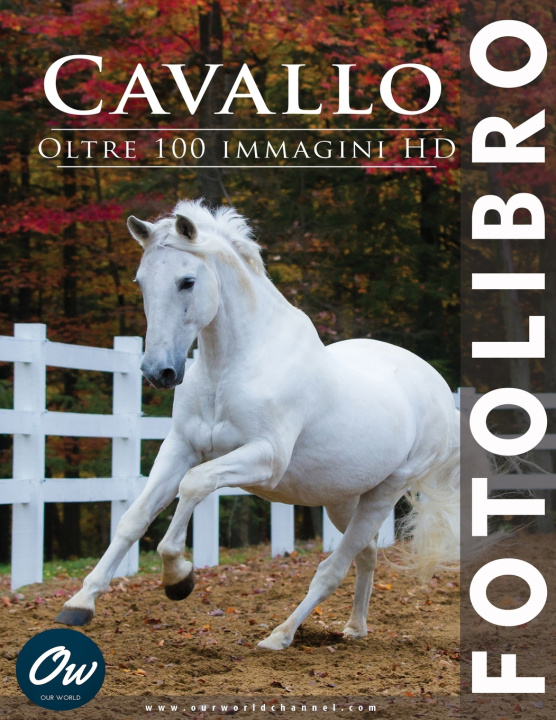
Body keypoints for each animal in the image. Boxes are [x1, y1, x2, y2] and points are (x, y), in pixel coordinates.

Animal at [55, 200, 460, 650]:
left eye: (187, 281)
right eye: (141, 282)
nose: (158, 372)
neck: (231, 367)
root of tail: (439, 389)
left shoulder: (265, 459)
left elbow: (193, 485)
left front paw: (178, 578)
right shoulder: (180, 447)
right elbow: (134, 518)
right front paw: (79, 603)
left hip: (384, 492)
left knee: (333, 568)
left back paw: (280, 636)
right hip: (343, 497)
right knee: (366, 554)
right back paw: (354, 628)